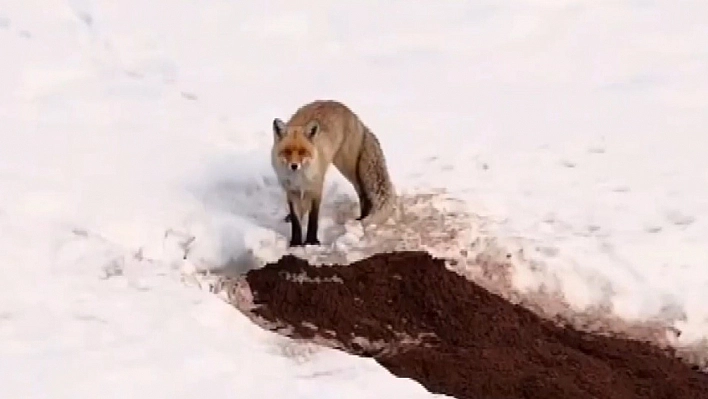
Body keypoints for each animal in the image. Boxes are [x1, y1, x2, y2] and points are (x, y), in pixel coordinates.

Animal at [270, 100, 396, 247]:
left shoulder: (317, 189)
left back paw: (362, 217)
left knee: (362, 192)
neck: (299, 177)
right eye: (287, 151)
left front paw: (311, 242)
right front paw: (295, 243)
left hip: (347, 167)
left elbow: (313, 218)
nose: (294, 166)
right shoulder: (291, 191)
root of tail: (354, 115)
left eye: (302, 152)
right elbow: (296, 221)